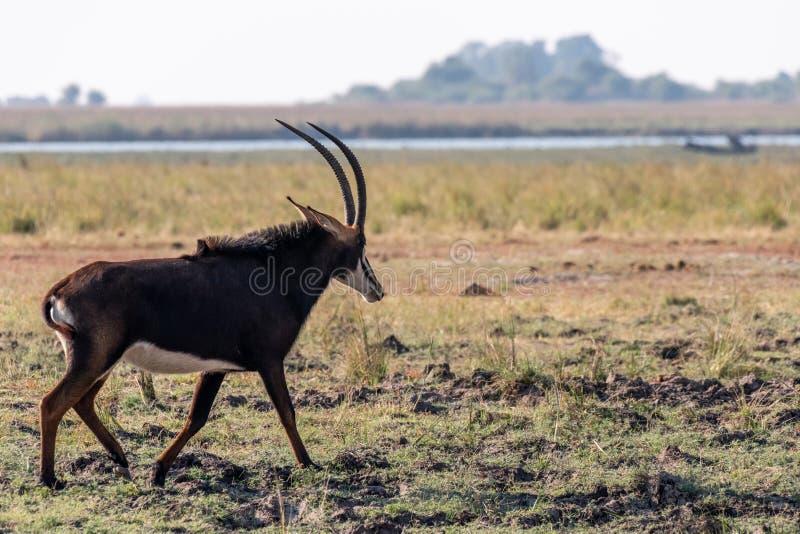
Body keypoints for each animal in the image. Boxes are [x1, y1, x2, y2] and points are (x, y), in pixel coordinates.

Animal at [39, 121, 384, 490]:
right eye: (361, 241)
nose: (377, 290)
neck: (275, 272)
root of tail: (62, 287)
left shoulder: (215, 367)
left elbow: (197, 417)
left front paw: (158, 471)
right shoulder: (270, 359)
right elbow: (286, 412)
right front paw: (308, 464)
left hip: (104, 361)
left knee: (83, 402)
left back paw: (120, 458)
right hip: (95, 358)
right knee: (53, 403)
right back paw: (50, 478)